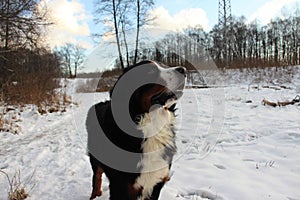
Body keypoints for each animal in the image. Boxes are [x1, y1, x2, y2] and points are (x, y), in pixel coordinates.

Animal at [85, 60, 186, 200]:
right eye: (150, 71)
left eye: (164, 65)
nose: (183, 70)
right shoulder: (120, 187)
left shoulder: (156, 183)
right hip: (95, 157)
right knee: (97, 177)